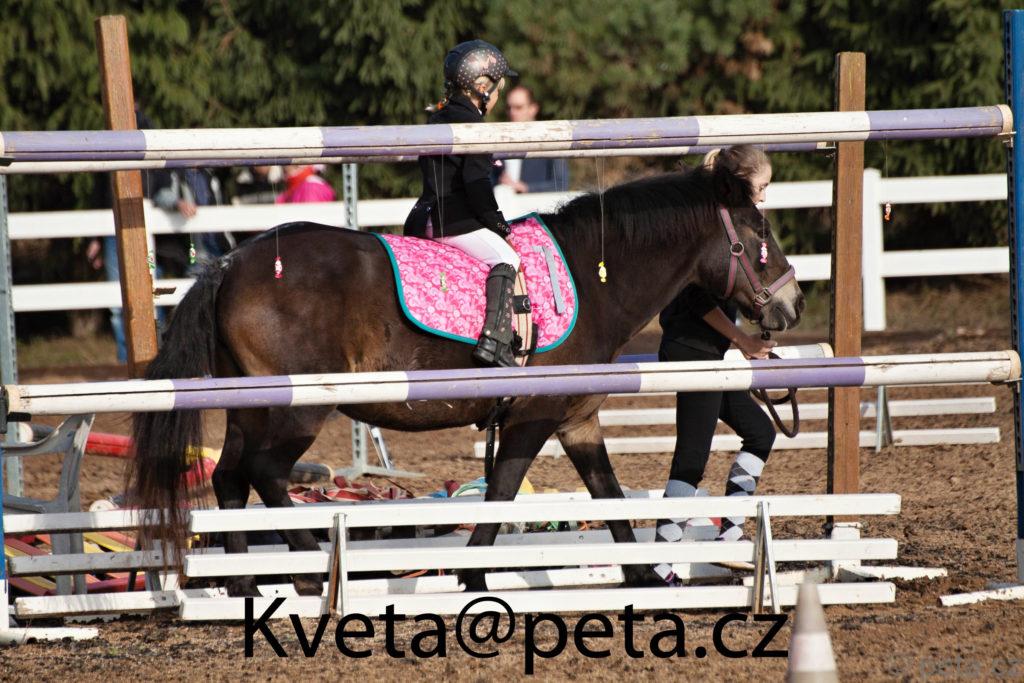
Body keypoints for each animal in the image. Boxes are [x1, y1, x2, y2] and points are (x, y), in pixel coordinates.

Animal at [129, 165, 804, 596]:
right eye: (760, 235)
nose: (792, 305)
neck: (592, 279)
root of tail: (232, 262)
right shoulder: (532, 418)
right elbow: (502, 491)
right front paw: (473, 572)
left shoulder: (577, 420)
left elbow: (607, 492)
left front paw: (640, 573)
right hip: (298, 407)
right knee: (266, 473)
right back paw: (308, 568)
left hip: (250, 408)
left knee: (229, 477)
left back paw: (242, 579)